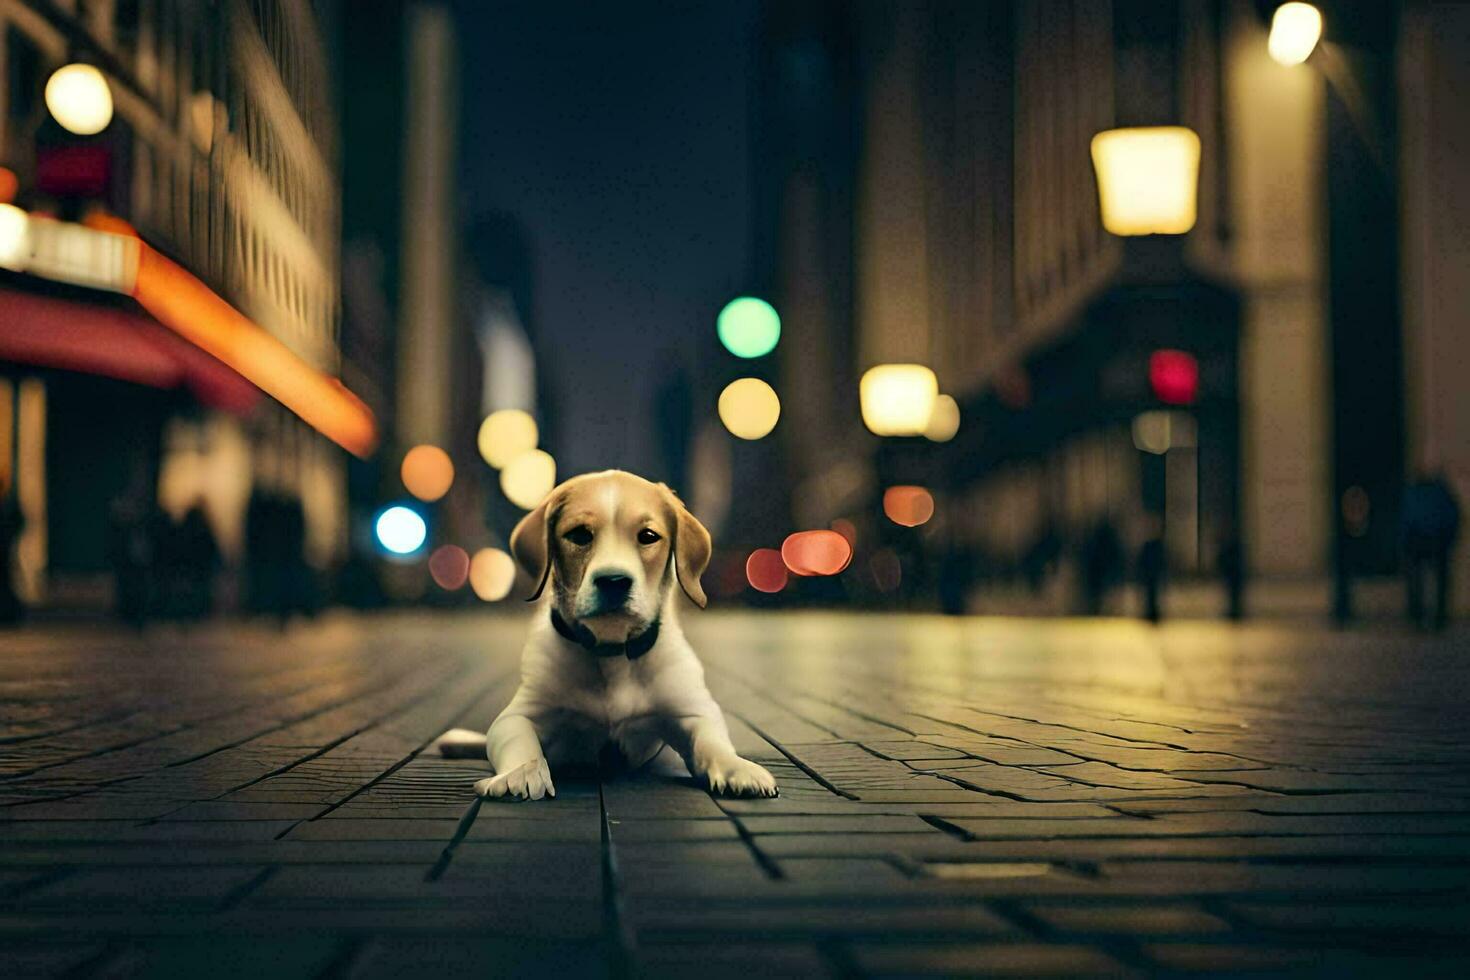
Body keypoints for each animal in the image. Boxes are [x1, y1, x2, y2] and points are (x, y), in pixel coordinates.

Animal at [435, 470, 782, 799]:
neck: (611, 651)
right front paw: (520, 773)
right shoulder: (521, 713)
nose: (614, 581)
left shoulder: (693, 711)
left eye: (648, 536)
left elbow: (712, 741)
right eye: (579, 535)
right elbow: (520, 742)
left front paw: (736, 767)